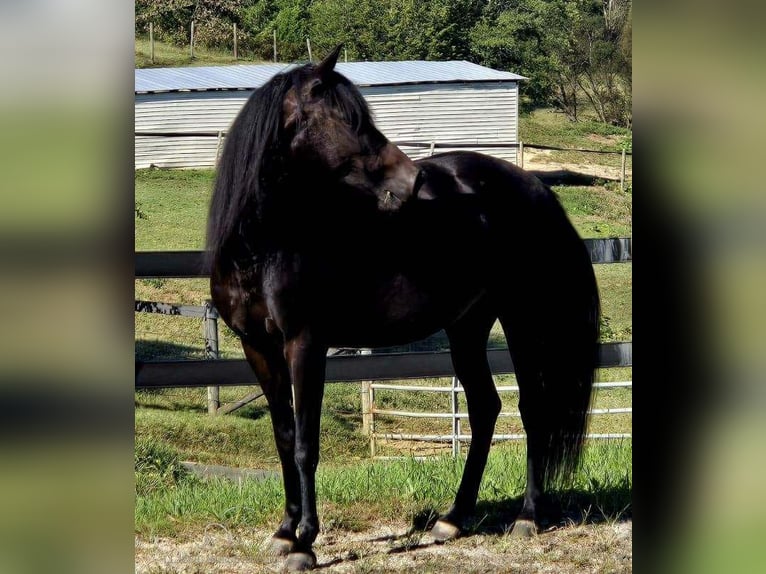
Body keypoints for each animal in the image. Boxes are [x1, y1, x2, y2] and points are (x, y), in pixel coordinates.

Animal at [207, 47, 604, 572]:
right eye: (348, 121)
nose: (413, 179)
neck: (267, 243)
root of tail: (535, 188)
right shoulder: (259, 350)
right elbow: (285, 438)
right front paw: (284, 532)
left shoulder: (305, 345)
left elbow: (308, 445)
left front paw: (306, 543)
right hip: (467, 326)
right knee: (485, 408)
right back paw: (453, 520)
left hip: (520, 322)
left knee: (531, 408)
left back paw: (527, 517)